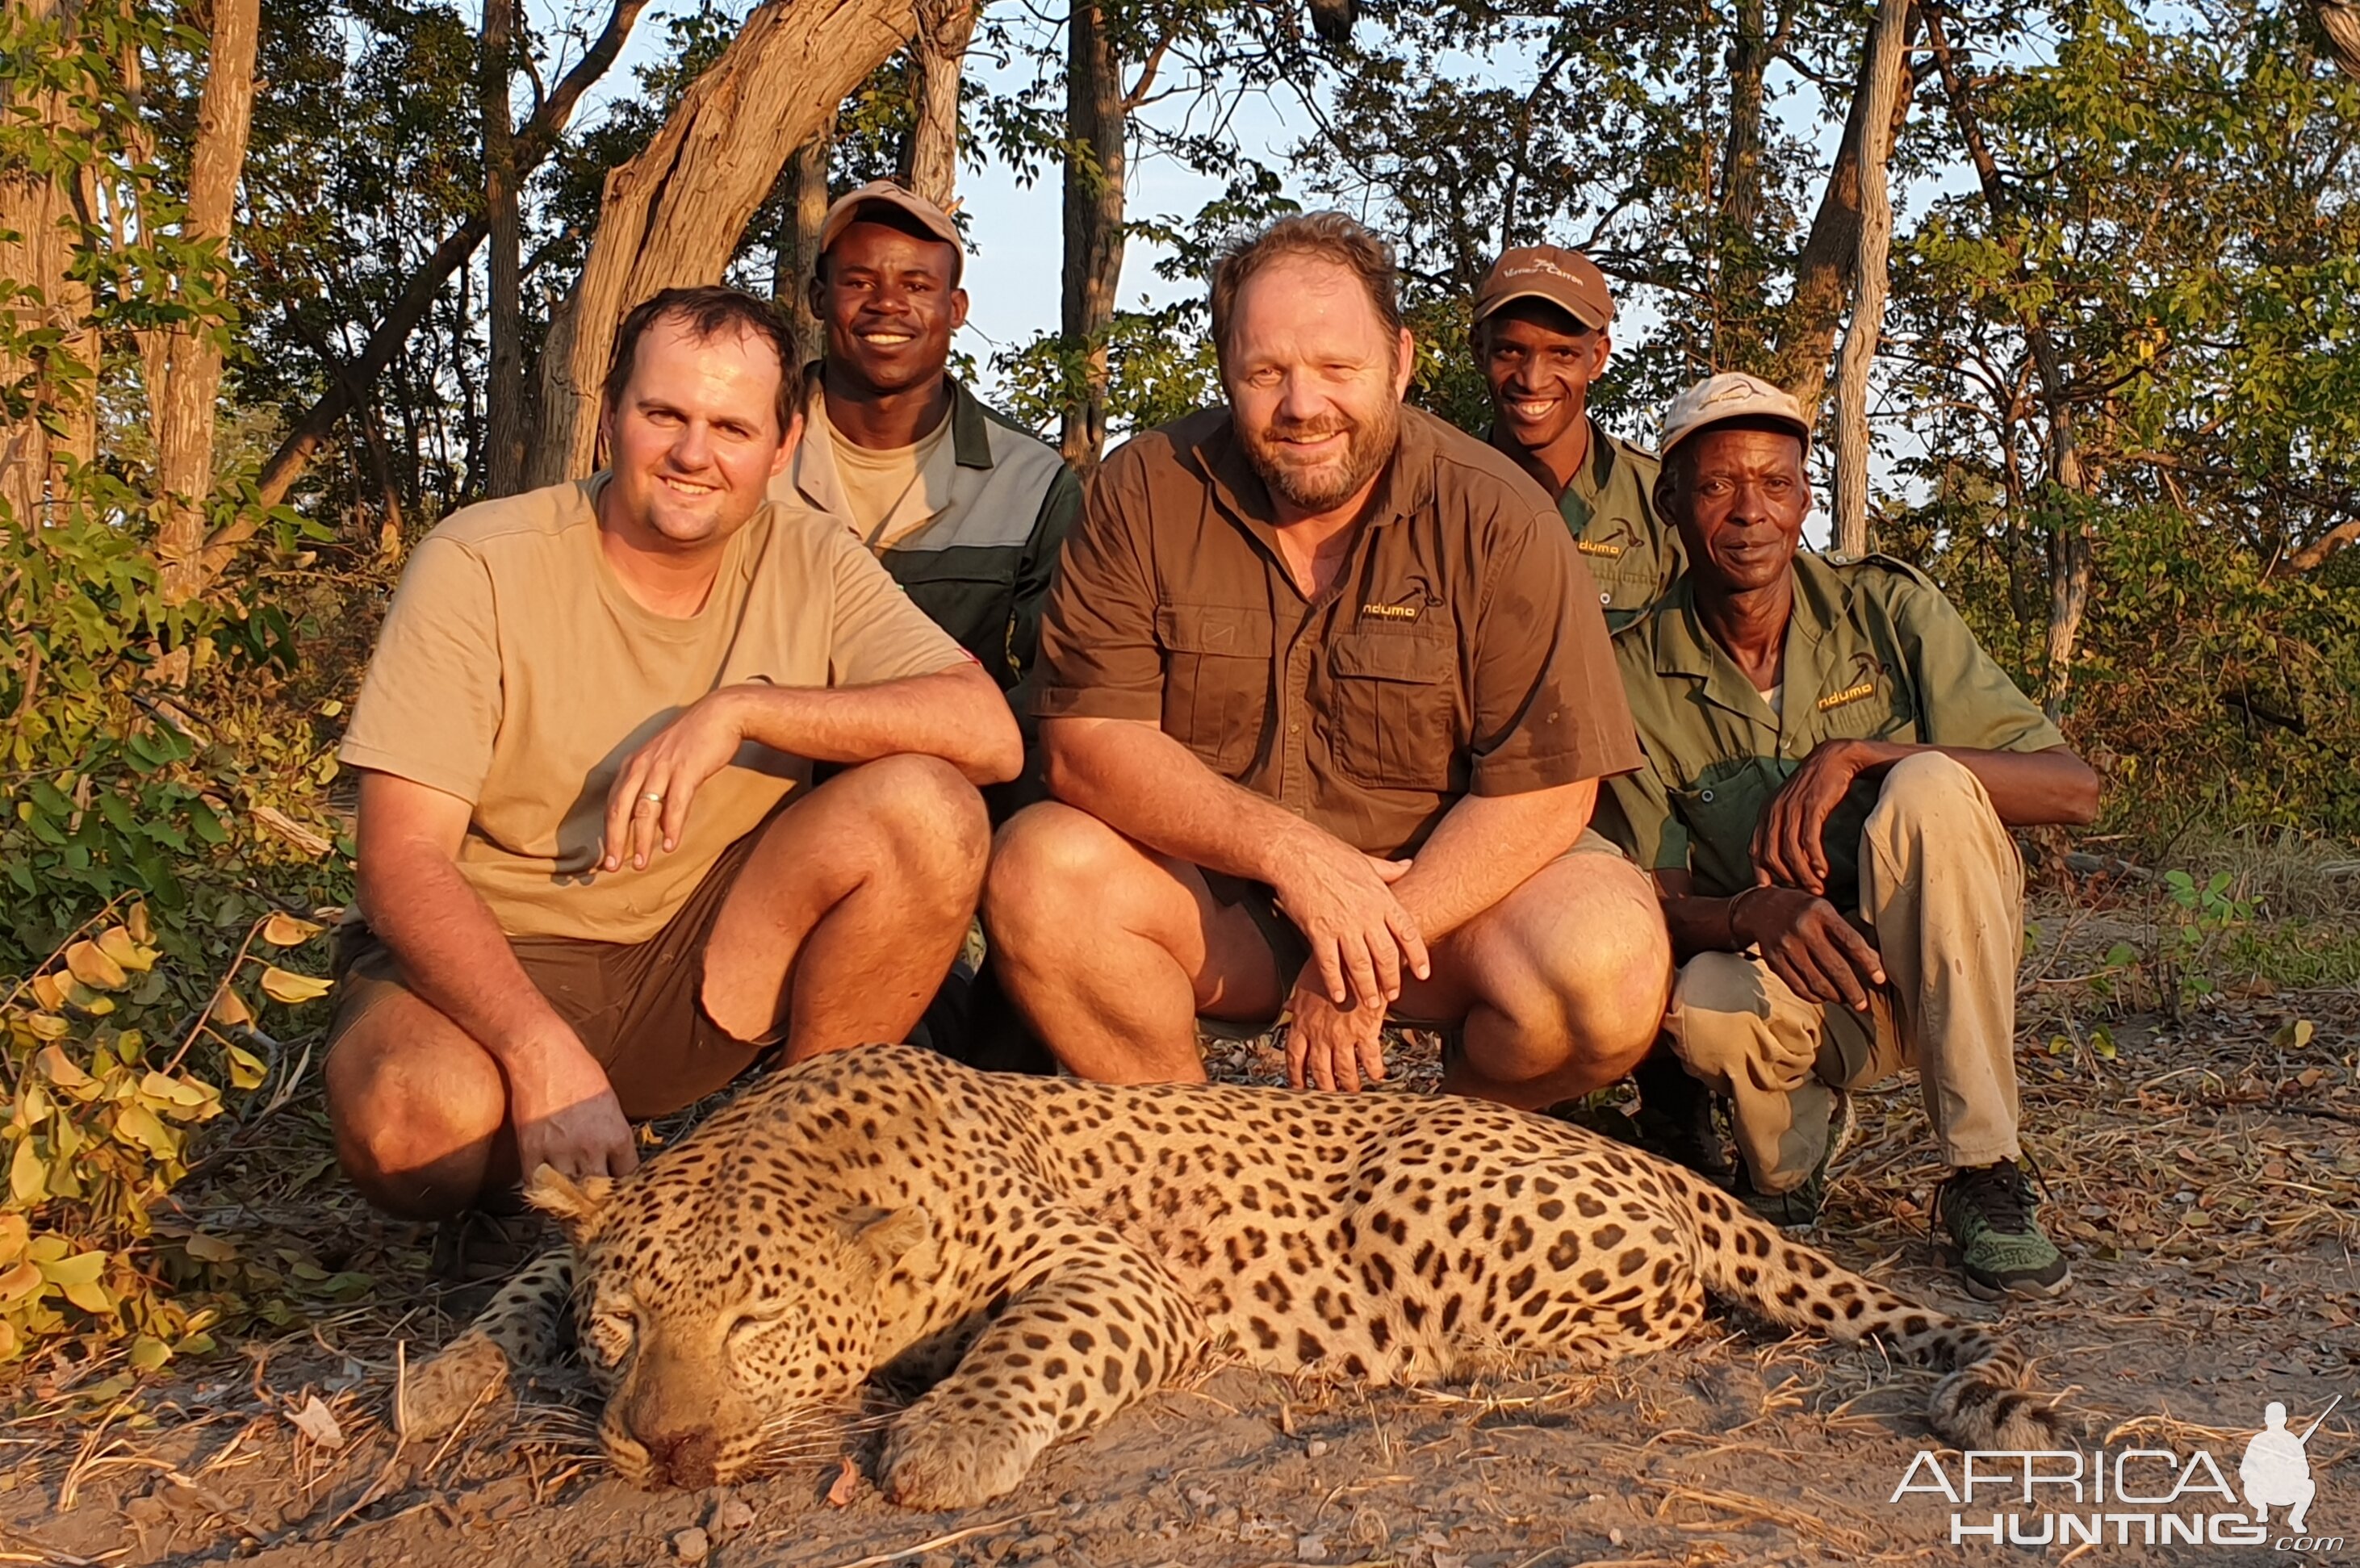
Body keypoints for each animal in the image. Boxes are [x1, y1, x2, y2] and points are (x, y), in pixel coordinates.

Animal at [401, 1037, 2067, 1508]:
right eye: (630, 1321)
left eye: (754, 1321)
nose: (666, 1446)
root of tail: (1663, 1165)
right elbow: (521, 1287)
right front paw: (439, 1381)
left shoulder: (1110, 1279)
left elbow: (1027, 1347)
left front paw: (940, 1444)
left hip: (1427, 1206)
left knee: (1667, 1307)